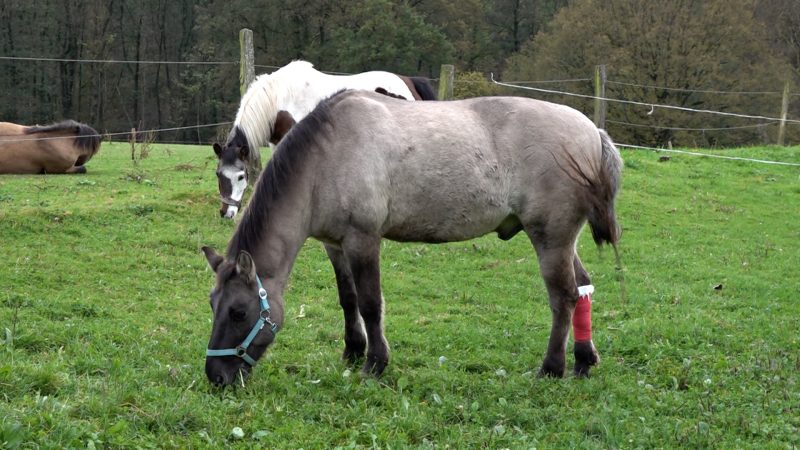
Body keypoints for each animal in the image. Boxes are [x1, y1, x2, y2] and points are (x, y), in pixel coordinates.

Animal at [202, 89, 624, 386]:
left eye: (239, 312)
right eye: (213, 304)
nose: (216, 376)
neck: (326, 158)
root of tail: (593, 132)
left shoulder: (363, 240)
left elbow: (371, 303)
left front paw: (375, 363)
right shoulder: (335, 245)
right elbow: (348, 299)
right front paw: (353, 351)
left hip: (550, 239)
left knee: (563, 297)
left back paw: (552, 368)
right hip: (561, 241)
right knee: (582, 287)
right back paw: (584, 361)